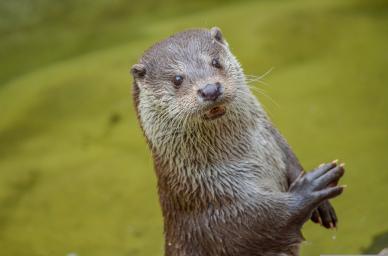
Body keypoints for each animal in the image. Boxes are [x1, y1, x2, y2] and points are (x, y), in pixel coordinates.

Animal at [130, 27, 346, 256]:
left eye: (216, 62)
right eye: (177, 79)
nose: (210, 89)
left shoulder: (274, 138)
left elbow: (290, 158)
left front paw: (322, 204)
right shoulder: (214, 209)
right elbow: (260, 223)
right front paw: (311, 187)